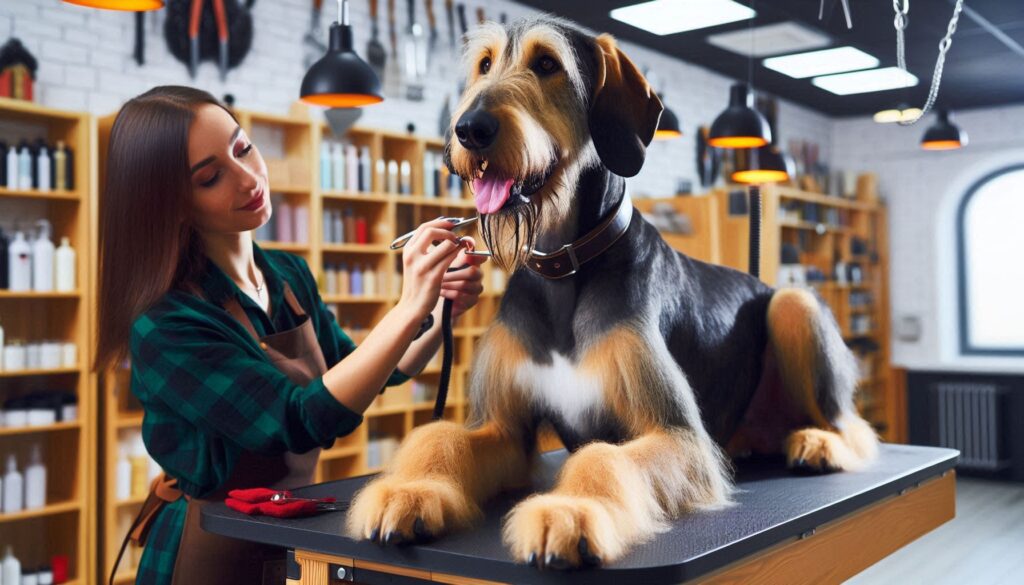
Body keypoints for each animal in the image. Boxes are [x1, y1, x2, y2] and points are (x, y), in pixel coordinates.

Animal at [346, 16, 880, 569]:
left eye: (547, 63)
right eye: (485, 64)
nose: (469, 130)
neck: (563, 267)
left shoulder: (678, 437)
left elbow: (601, 453)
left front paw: (569, 513)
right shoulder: (503, 431)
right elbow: (442, 436)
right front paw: (408, 492)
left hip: (794, 305)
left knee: (852, 424)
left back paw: (818, 443)